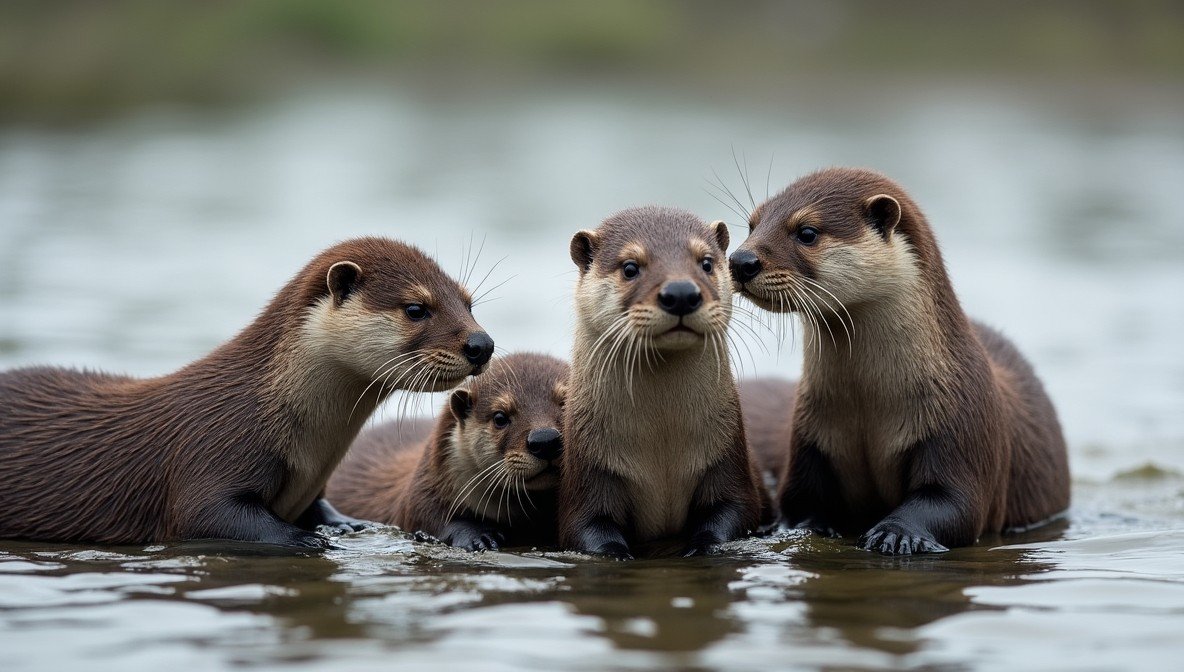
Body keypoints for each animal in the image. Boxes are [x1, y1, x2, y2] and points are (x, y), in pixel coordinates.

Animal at [0, 237, 494, 549]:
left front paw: (349, 524)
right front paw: (305, 539)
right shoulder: (207, 452)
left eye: (469, 303)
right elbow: (204, 515)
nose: (481, 344)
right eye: (416, 308)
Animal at [327, 352, 568, 551]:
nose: (544, 440)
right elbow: (426, 516)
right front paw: (478, 536)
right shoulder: (423, 487)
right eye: (500, 417)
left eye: (565, 403)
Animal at [559, 206, 769, 559]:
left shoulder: (727, 458)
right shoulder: (589, 470)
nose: (681, 293)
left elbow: (735, 511)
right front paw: (618, 553)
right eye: (630, 267)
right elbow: (585, 526)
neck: (662, 452)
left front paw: (701, 546)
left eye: (706, 262)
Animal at [728, 167, 1070, 555]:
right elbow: (801, 503)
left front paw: (895, 532)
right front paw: (809, 528)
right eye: (753, 224)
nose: (741, 260)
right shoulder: (810, 436)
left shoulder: (964, 425)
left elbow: (955, 503)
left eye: (807, 232)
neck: (869, 407)